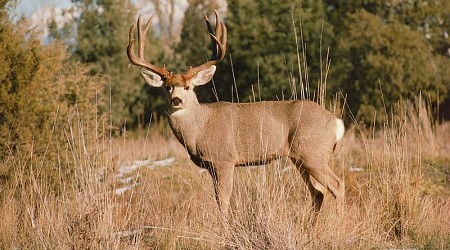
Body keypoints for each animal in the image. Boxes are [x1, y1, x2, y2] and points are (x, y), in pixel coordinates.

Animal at [126, 11, 344, 219]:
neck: (199, 128)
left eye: (188, 87)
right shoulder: (211, 166)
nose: (176, 100)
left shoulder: (225, 159)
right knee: (318, 192)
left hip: (313, 153)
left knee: (337, 186)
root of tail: (336, 122)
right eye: (167, 87)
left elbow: (223, 200)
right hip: (299, 158)